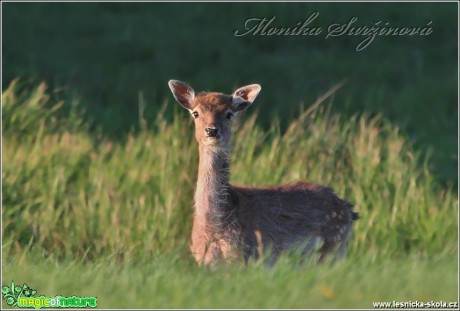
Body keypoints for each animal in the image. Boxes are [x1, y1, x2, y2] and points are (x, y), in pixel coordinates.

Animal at [169, 79, 360, 270]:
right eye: (196, 113)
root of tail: (349, 210)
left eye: (229, 114)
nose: (212, 130)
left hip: (332, 248)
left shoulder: (247, 256)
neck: (216, 227)